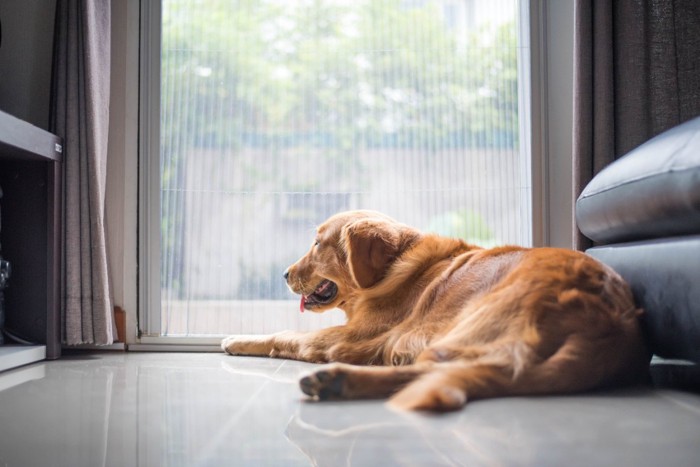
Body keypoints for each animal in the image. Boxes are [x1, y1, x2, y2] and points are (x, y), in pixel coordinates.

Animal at [221, 210, 648, 412]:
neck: (390, 270)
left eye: (316, 244)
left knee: (433, 372)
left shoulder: (350, 339)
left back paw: (336, 380)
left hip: (465, 326)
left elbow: (285, 334)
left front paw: (236, 339)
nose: (283, 274)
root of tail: (611, 322)